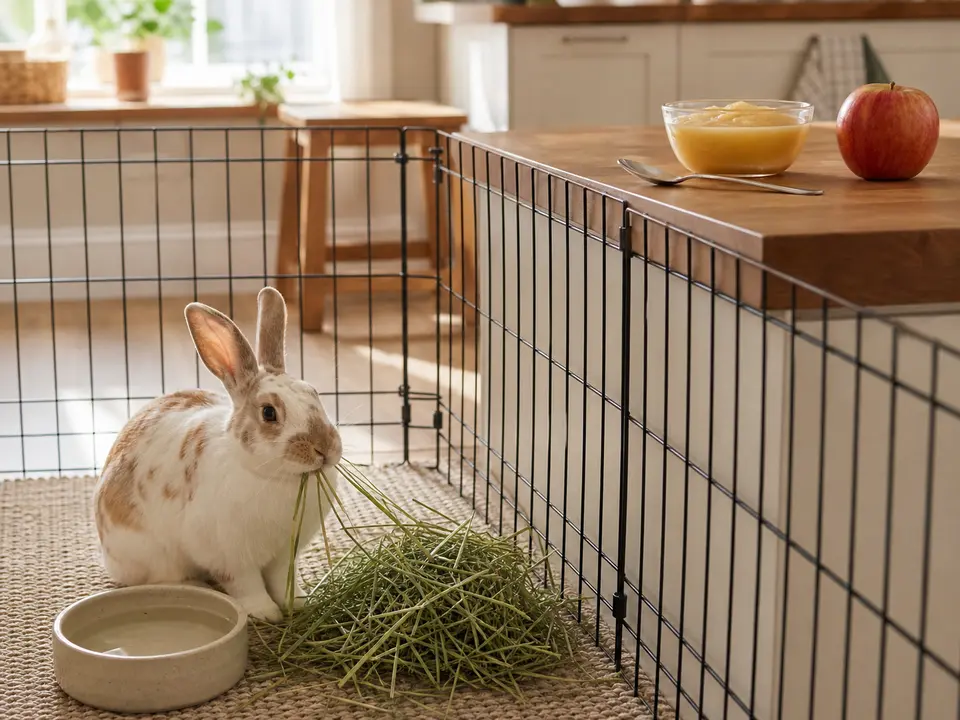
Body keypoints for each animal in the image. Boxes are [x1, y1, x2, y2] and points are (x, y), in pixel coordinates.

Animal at [93, 286, 342, 622]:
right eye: (269, 413)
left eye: (314, 392)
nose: (325, 448)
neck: (275, 476)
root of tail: (107, 555)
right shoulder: (231, 557)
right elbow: (247, 586)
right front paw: (267, 613)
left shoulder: (283, 556)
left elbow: (281, 581)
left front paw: (298, 603)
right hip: (154, 555)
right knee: (161, 578)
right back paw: (196, 586)